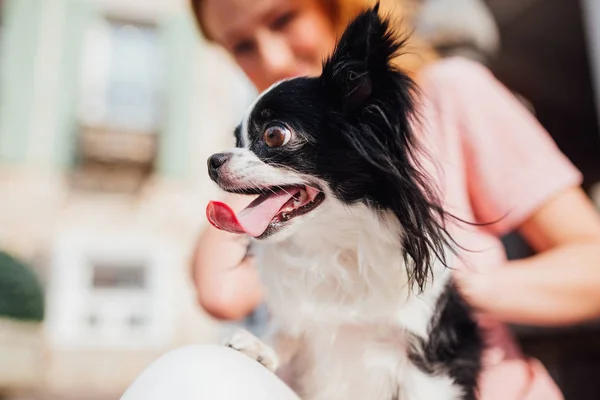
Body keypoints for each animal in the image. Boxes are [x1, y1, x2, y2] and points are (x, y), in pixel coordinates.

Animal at [206, 3, 482, 400]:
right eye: (237, 140)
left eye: (274, 135)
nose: (212, 161)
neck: (334, 244)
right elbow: (288, 333)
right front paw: (260, 348)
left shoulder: (428, 363)